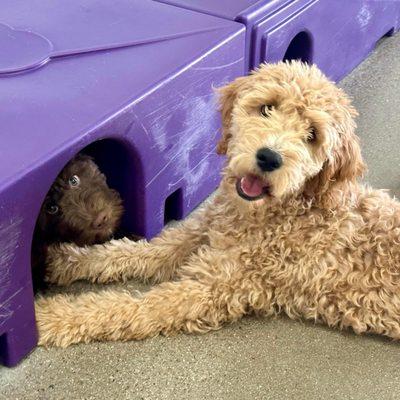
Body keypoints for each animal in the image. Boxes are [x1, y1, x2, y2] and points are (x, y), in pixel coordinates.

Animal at [36, 61, 400, 346]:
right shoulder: (195, 235)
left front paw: (51, 318)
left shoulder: (214, 289)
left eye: (312, 134)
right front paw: (65, 260)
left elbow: (131, 308)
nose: (269, 157)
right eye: (267, 107)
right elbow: (129, 252)